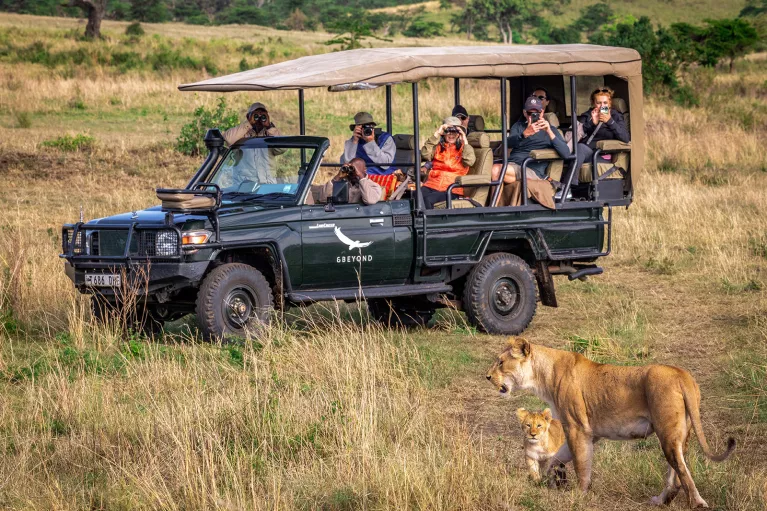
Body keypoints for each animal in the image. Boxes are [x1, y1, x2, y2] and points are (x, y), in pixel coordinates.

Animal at [487, 337, 735, 509]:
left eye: (501, 362)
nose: (487, 377)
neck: (543, 376)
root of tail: (681, 373)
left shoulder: (577, 428)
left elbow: (581, 464)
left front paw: (579, 493)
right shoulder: (588, 432)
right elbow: (557, 458)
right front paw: (552, 479)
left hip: (668, 432)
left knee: (682, 470)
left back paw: (697, 503)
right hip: (680, 434)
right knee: (675, 472)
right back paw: (661, 500)